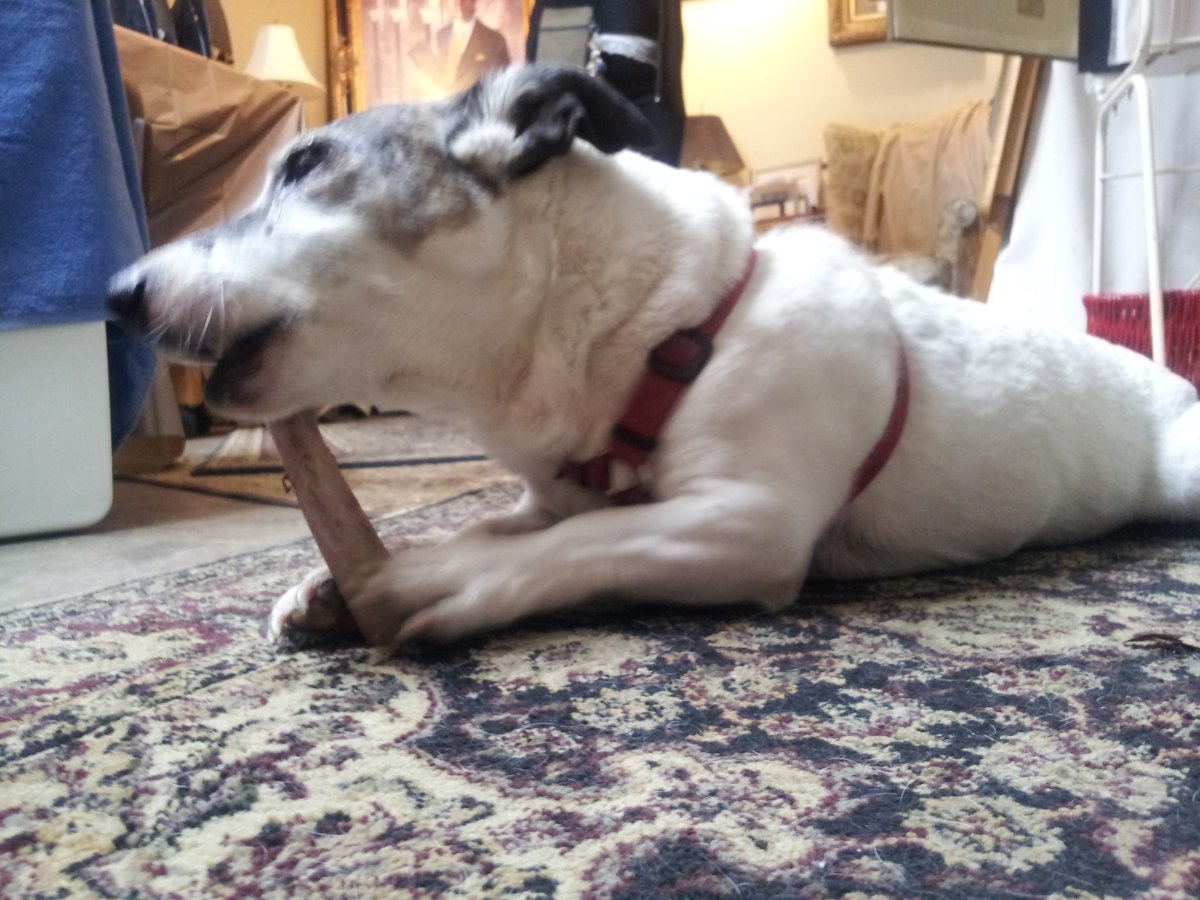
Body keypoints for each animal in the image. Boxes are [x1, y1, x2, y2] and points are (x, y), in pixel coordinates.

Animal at [109, 64, 1200, 646]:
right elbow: (524, 522)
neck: (662, 330)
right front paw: (341, 581)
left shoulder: (748, 521)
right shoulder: (552, 494)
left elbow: (586, 542)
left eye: (303, 163)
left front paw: (443, 578)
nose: (114, 295)